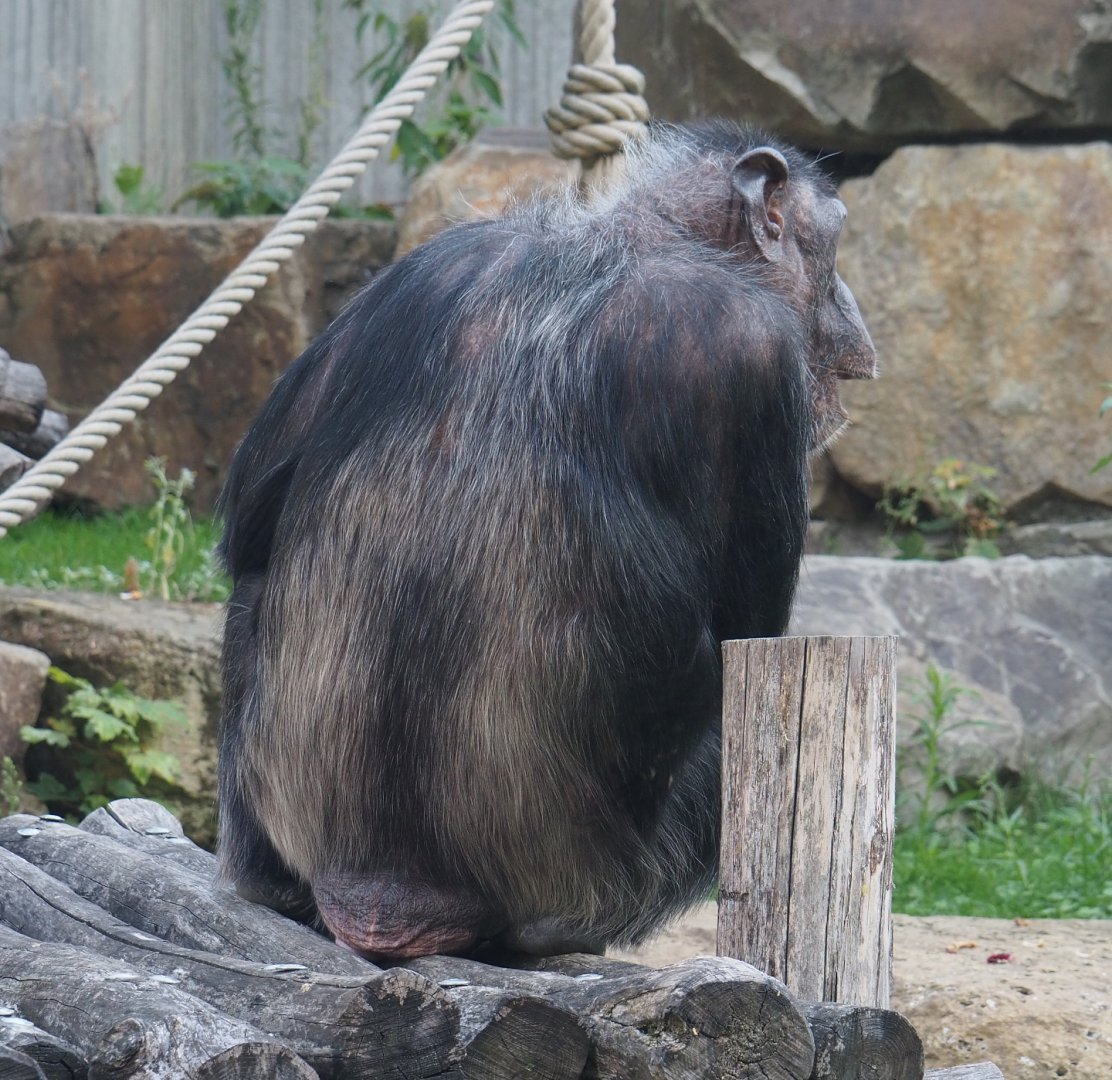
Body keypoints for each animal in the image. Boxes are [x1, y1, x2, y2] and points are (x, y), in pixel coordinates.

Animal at [216, 119, 877, 962]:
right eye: (832, 247)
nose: (852, 304)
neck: (629, 239)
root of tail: (388, 899)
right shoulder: (753, 351)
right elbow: (746, 633)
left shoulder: (411, 273)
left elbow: (248, 531)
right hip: (599, 888)